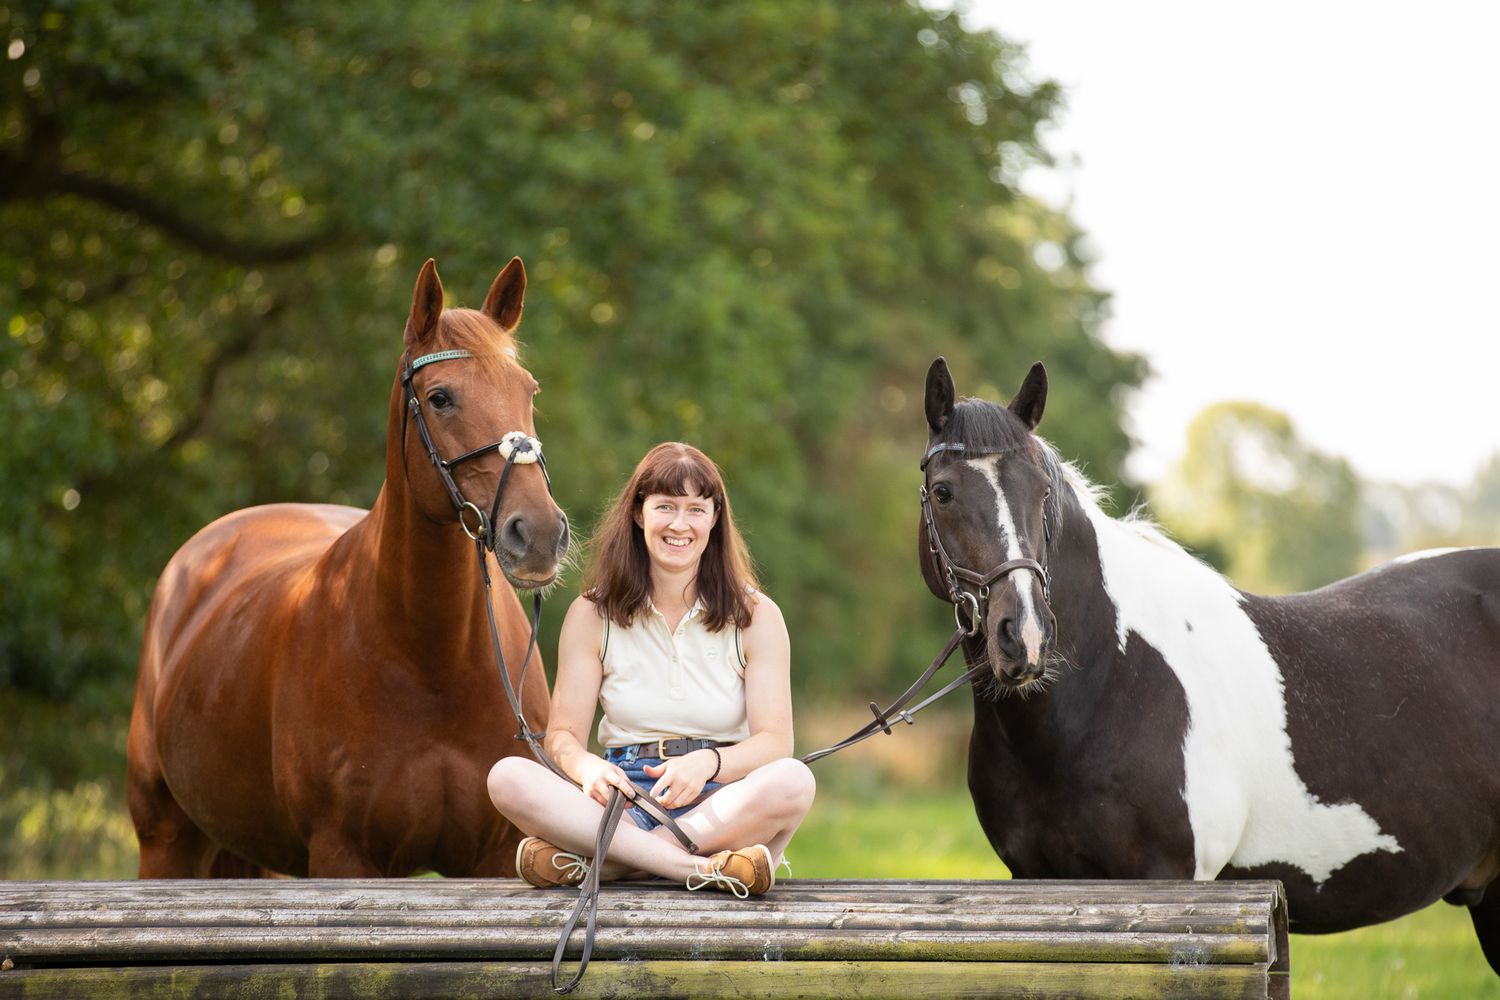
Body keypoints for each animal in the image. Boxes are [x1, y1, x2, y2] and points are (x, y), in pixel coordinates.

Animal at [127, 258, 569, 878]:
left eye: (528, 391)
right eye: (440, 398)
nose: (540, 535)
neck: (431, 662)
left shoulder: (499, 853)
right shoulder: (342, 853)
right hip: (166, 839)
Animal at [918, 356, 1500, 971]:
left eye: (1043, 491)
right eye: (943, 492)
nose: (1024, 635)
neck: (1111, 685)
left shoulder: (1168, 880)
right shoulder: (1033, 880)